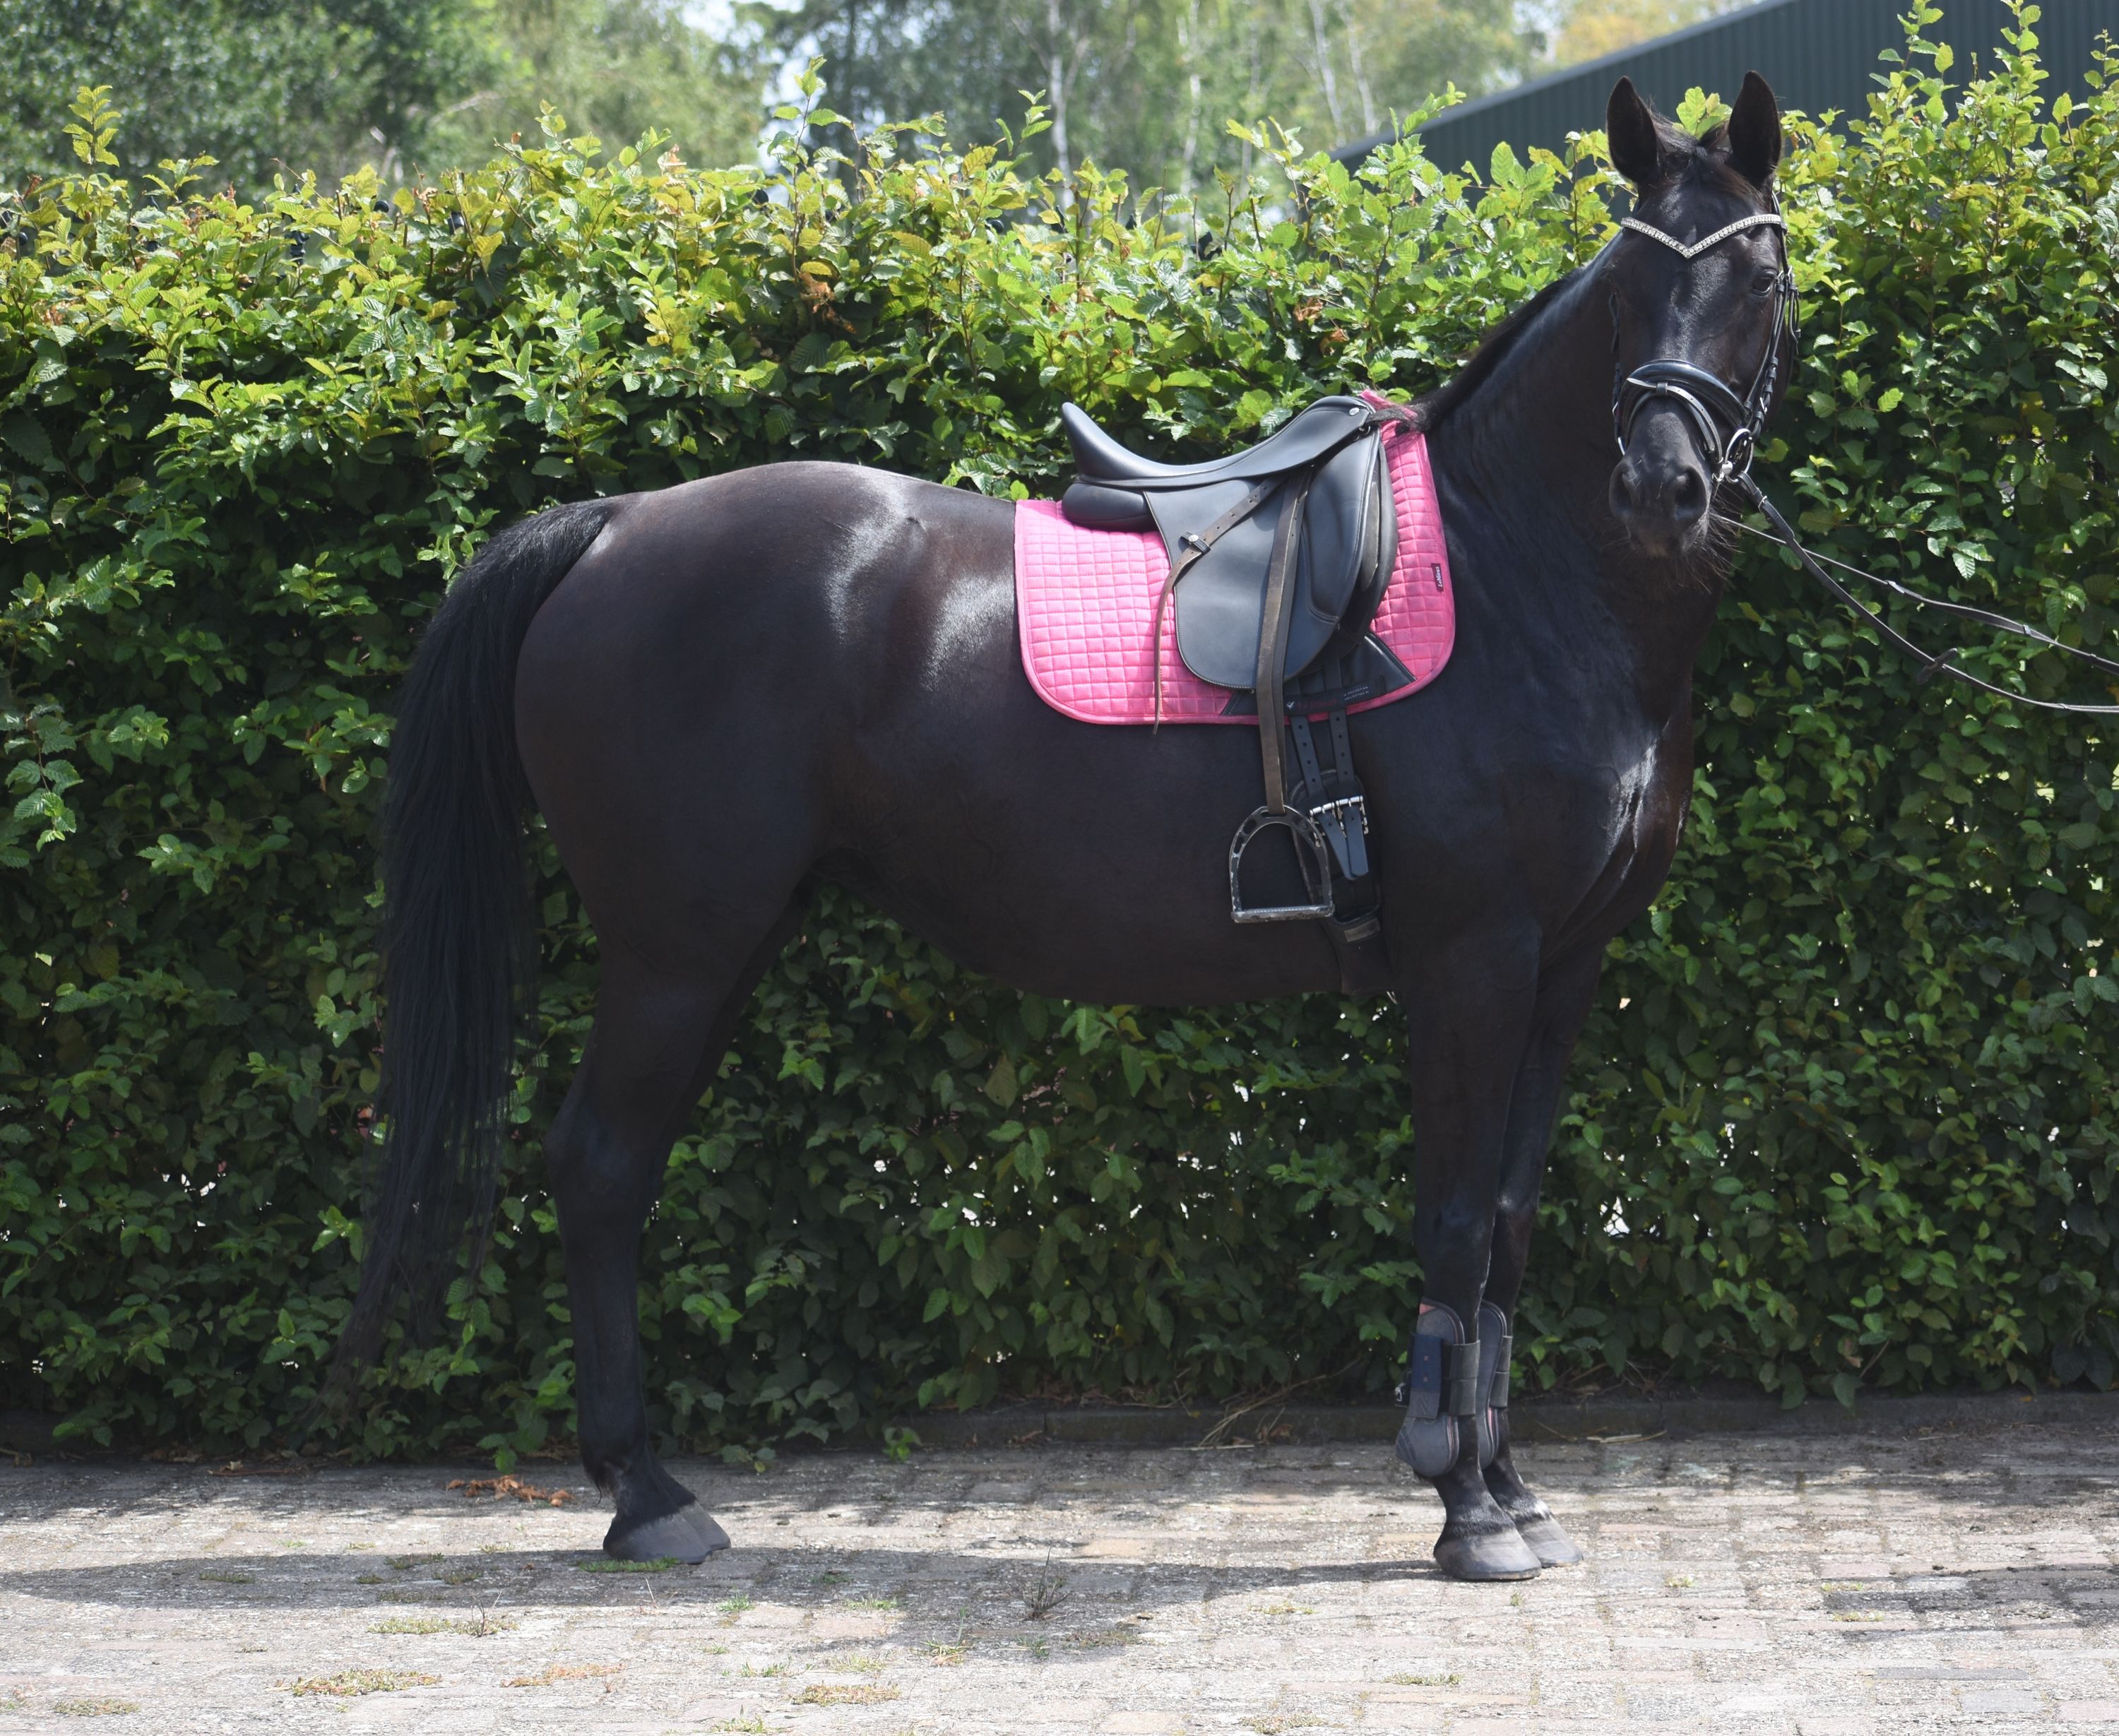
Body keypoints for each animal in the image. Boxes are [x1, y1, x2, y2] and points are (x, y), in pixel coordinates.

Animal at [344, 72, 1796, 1583]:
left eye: (1758, 275)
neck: (1520, 578)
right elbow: (1455, 1221)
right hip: (676, 951)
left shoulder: (1561, 969)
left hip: (722, 943)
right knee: (599, 1169)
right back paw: (644, 1492)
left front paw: (1509, 1485)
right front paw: (1462, 1502)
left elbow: (1507, 1225)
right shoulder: (1472, 958)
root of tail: (616, 522)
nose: (1664, 489)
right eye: (1630, 280)